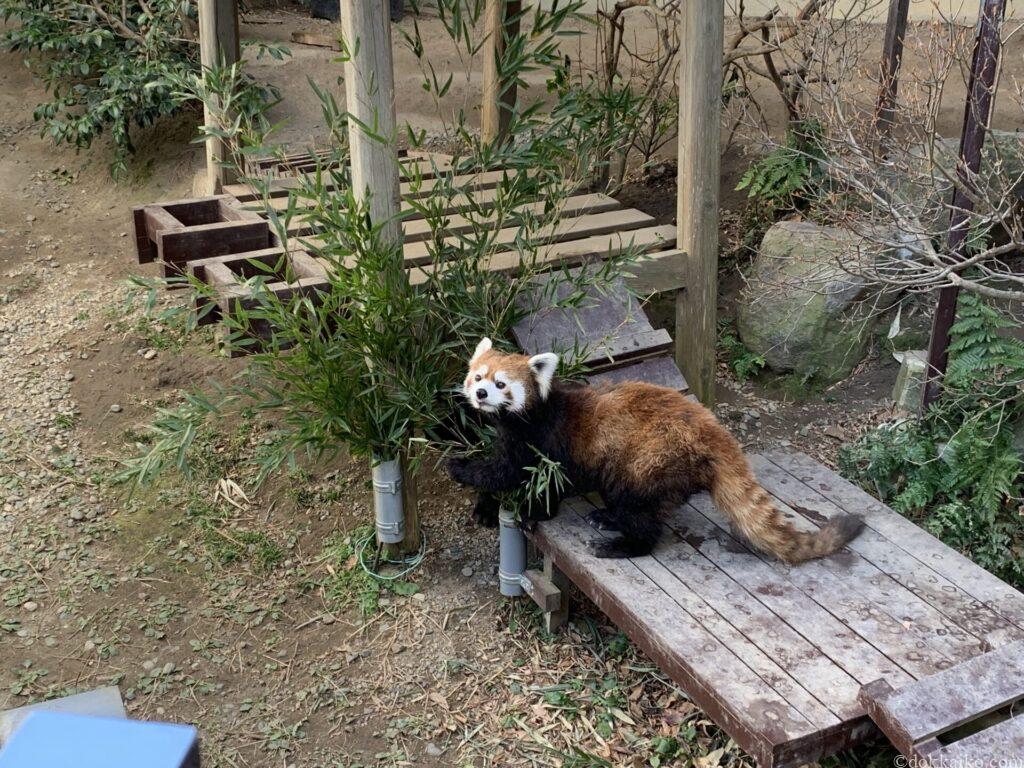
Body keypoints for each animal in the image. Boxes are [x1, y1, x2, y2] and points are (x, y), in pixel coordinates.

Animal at [448, 337, 864, 565]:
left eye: (501, 384)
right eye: (478, 376)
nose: (480, 394)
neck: (529, 414)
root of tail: (714, 431)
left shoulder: (544, 441)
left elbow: (514, 474)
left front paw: (463, 470)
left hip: (650, 460)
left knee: (641, 514)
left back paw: (621, 544)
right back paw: (608, 518)